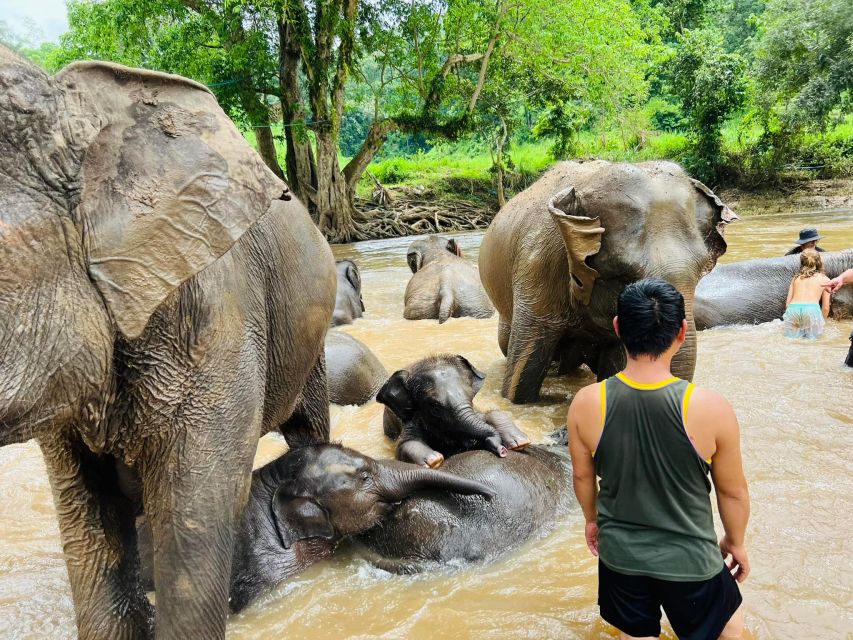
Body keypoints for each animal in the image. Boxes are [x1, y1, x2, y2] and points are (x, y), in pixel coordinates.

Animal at [378, 352, 528, 468]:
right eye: (435, 407)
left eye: (471, 397)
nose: (502, 450)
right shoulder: (411, 419)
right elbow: (404, 444)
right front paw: (435, 460)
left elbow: (490, 414)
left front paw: (520, 442)